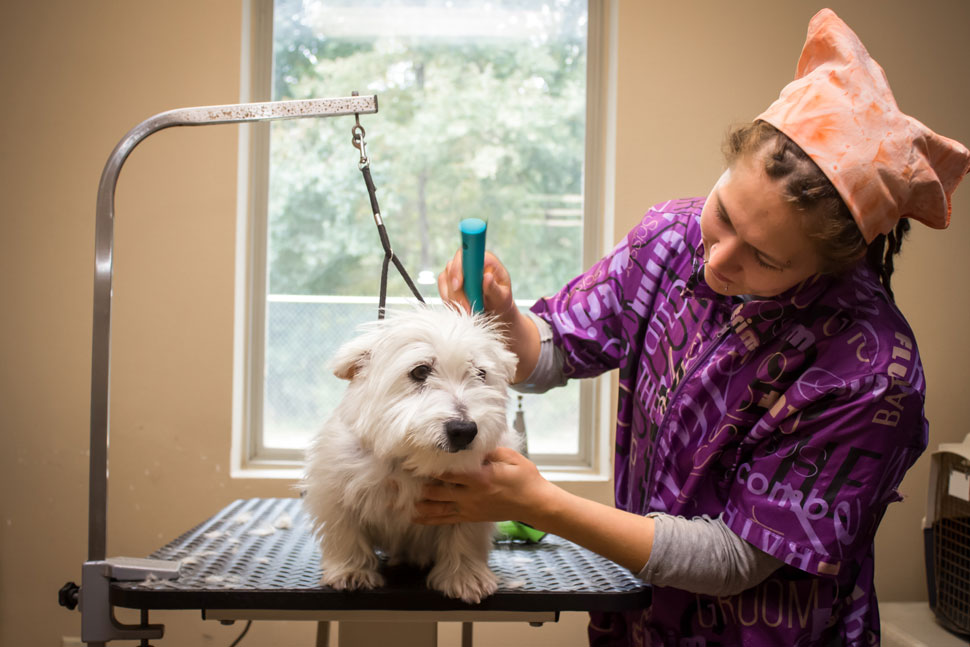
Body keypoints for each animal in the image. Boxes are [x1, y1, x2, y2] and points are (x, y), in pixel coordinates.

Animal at [302, 306, 520, 604]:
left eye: (480, 373)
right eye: (420, 371)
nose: (463, 430)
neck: (412, 461)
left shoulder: (473, 500)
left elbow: (465, 536)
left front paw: (465, 577)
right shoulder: (335, 490)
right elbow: (346, 533)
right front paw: (352, 571)